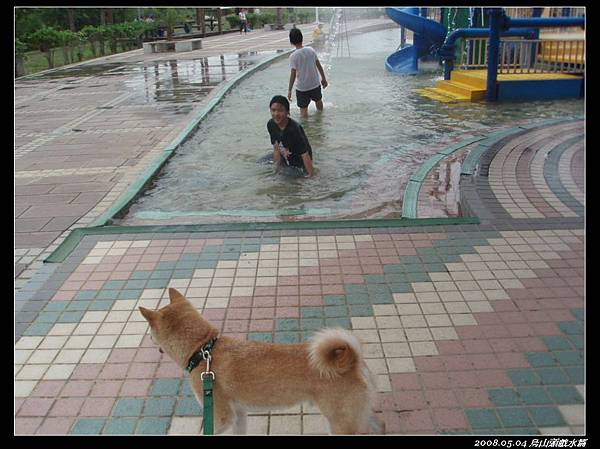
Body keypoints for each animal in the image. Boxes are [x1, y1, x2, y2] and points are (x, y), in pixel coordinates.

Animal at [139, 288, 384, 434]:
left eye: (149, 331)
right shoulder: (238, 415)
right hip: (356, 415)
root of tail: (352, 362)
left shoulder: (220, 416)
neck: (203, 349)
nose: (148, 339)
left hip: (341, 422)